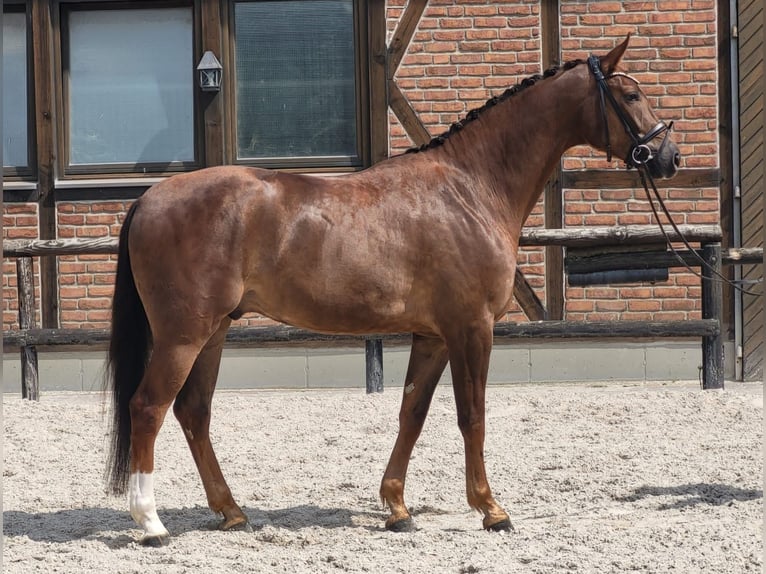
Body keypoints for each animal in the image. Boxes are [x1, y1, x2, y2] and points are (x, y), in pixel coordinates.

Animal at [106, 36, 680, 548]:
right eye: (631, 95)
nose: (668, 156)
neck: (470, 188)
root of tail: (149, 199)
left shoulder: (434, 336)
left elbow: (412, 414)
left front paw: (398, 508)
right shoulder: (472, 329)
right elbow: (472, 416)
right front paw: (491, 509)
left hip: (215, 332)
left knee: (193, 413)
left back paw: (231, 512)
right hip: (184, 334)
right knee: (149, 407)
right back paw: (151, 523)